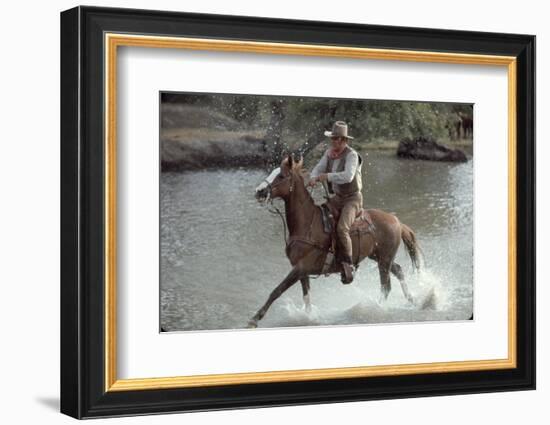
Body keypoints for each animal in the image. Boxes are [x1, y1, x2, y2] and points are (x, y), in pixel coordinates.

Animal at [252, 154, 424, 326]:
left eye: (281, 176)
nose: (259, 191)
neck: (307, 223)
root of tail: (397, 221)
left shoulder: (300, 268)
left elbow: (277, 290)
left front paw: (255, 319)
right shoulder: (302, 271)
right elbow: (306, 297)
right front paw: (309, 317)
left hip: (384, 260)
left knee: (386, 286)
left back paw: (377, 308)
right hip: (378, 257)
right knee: (398, 271)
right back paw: (411, 300)